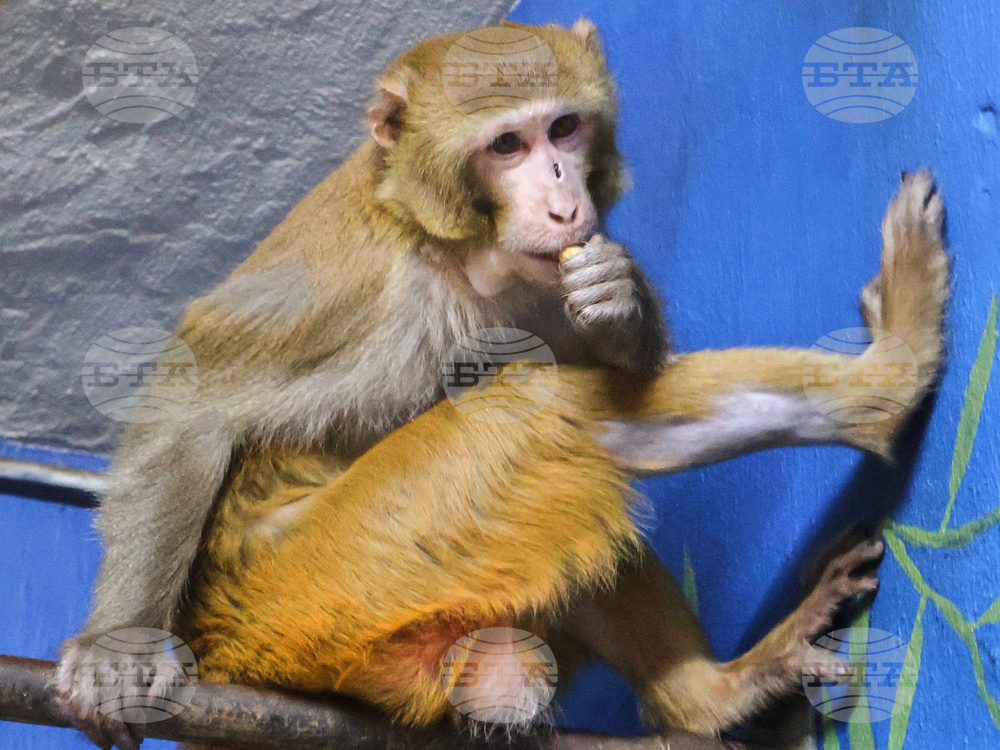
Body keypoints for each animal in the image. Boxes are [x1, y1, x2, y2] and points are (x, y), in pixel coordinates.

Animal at [53, 18, 949, 750]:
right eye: (506, 146)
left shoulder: (543, 280)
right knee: (541, 411)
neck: (460, 253)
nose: (562, 193)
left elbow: (622, 368)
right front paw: (117, 647)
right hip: (317, 584)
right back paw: (891, 381)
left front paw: (620, 298)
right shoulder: (355, 291)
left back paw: (711, 697)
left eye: (564, 128)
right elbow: (193, 400)